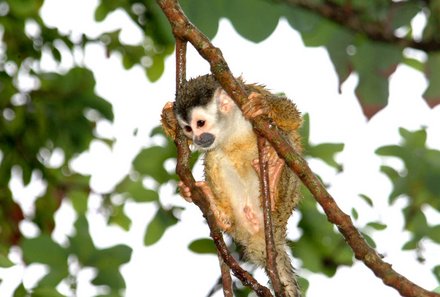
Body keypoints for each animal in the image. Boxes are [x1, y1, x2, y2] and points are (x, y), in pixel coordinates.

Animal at [165, 74, 302, 296]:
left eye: (200, 123)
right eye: (187, 129)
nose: (198, 138)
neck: (231, 126)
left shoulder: (244, 92)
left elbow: (292, 118)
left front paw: (264, 107)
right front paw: (167, 118)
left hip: (284, 204)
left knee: (282, 139)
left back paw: (273, 183)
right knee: (214, 154)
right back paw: (219, 213)